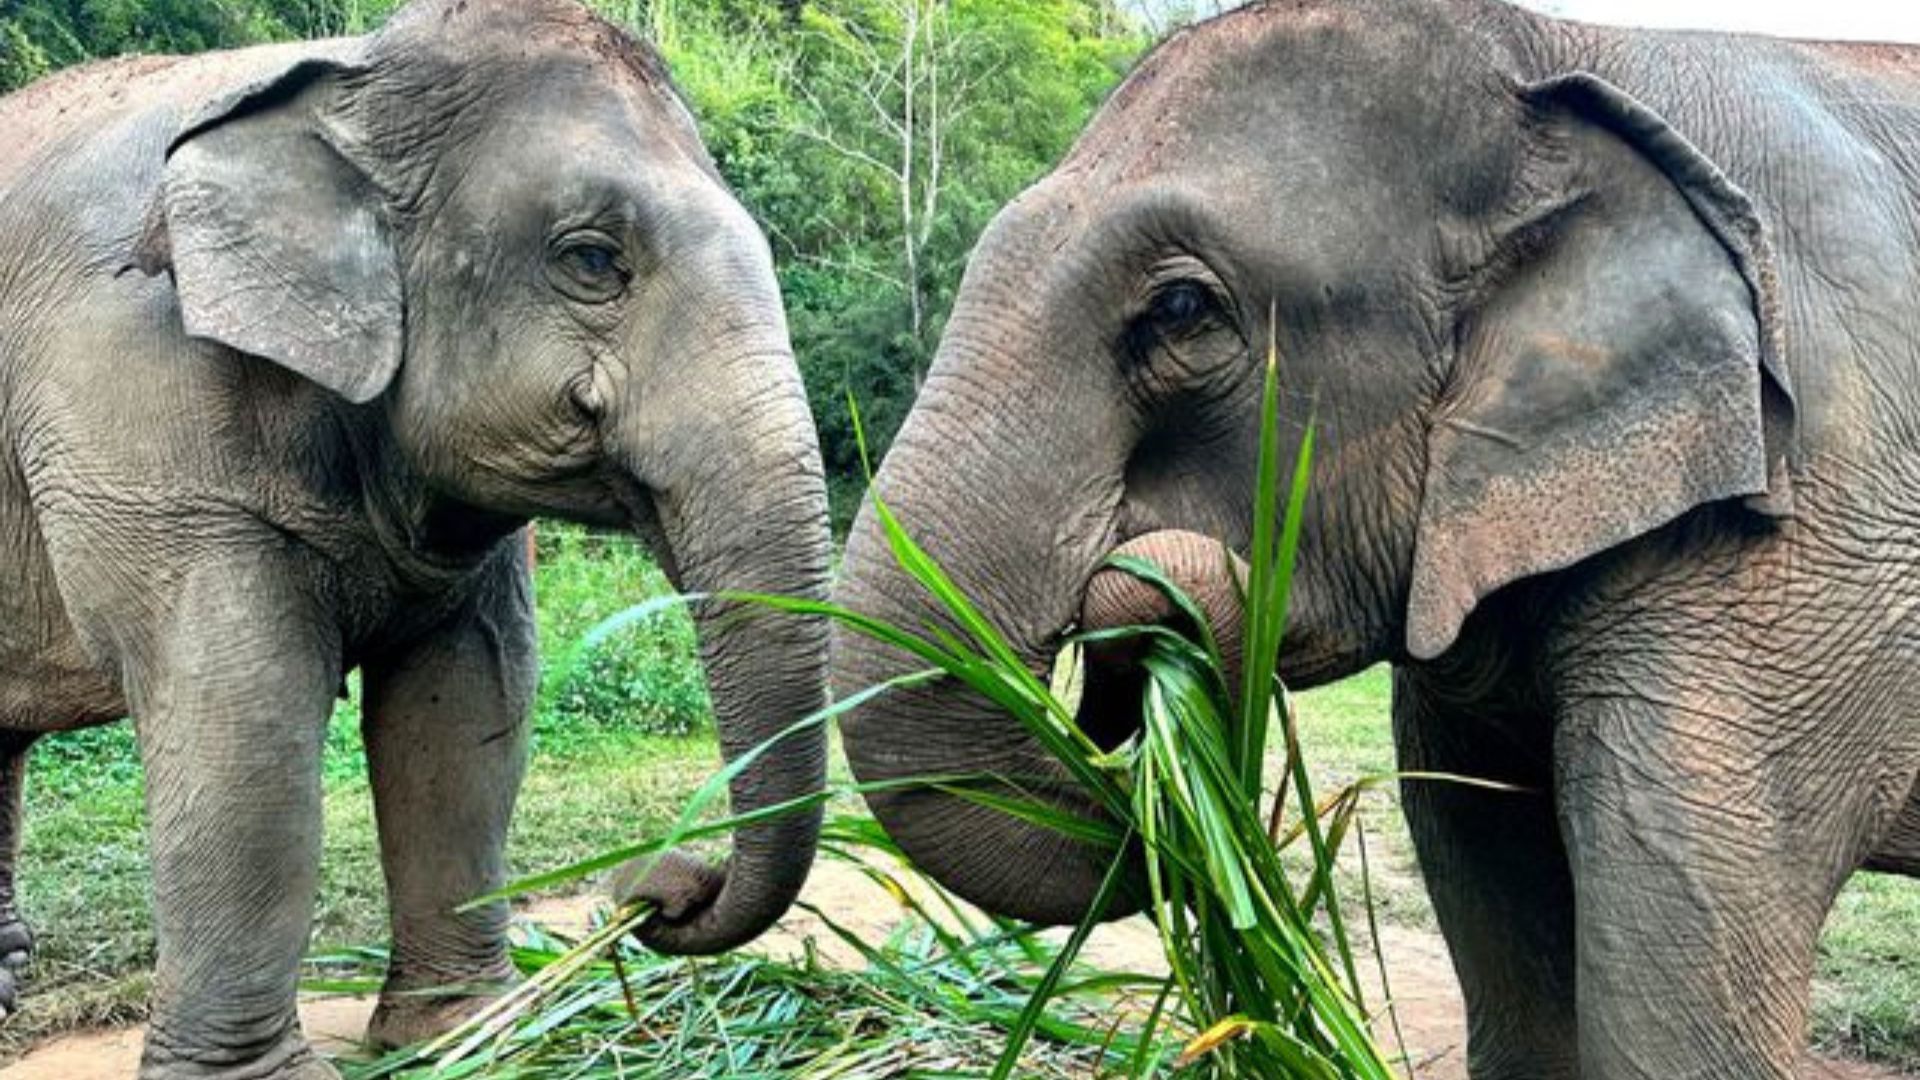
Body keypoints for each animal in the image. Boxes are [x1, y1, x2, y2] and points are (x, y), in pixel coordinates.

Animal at [0, 1, 830, 1076]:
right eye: (592, 260)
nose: (657, 890)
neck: (348, 74)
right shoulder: (133, 397)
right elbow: (244, 717)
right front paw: (266, 1076)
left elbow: (468, 699)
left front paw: (466, 1032)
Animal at [830, 1, 1920, 1076]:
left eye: (1179, 309)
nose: (1131, 609)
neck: (1560, 52)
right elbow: (1499, 908)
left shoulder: (1791, 556)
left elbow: (1676, 1016)